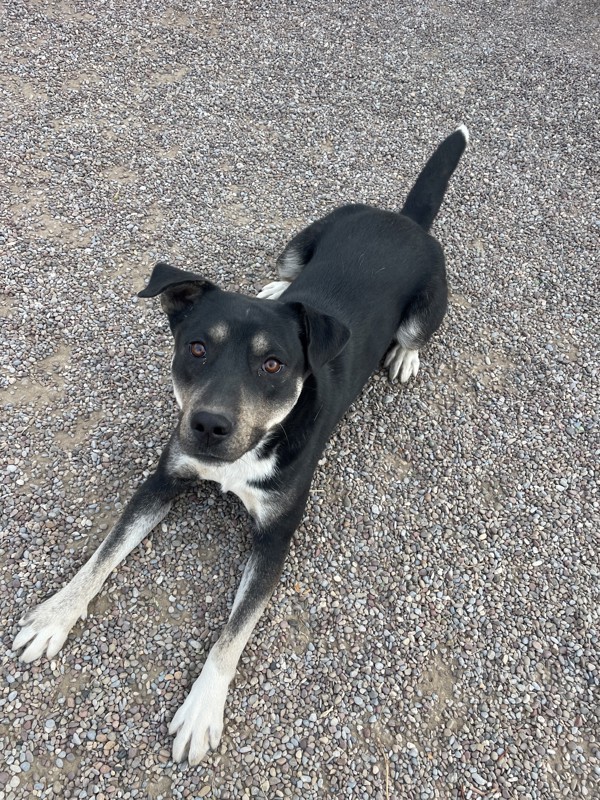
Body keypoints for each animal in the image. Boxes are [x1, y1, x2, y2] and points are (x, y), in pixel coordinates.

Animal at [10, 125, 468, 764]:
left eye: (273, 364)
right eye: (197, 347)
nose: (207, 425)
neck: (249, 448)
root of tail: (403, 220)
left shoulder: (276, 537)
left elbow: (232, 633)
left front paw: (202, 710)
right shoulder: (163, 479)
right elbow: (101, 556)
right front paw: (54, 617)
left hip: (429, 306)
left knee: (415, 333)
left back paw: (403, 354)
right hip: (307, 237)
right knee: (289, 266)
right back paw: (278, 285)